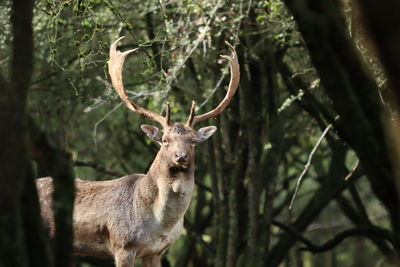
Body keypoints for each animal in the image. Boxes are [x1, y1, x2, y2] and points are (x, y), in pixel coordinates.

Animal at [36, 36, 239, 267]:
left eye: (193, 141)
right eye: (165, 140)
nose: (181, 157)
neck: (159, 226)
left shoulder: (156, 252)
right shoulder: (122, 244)